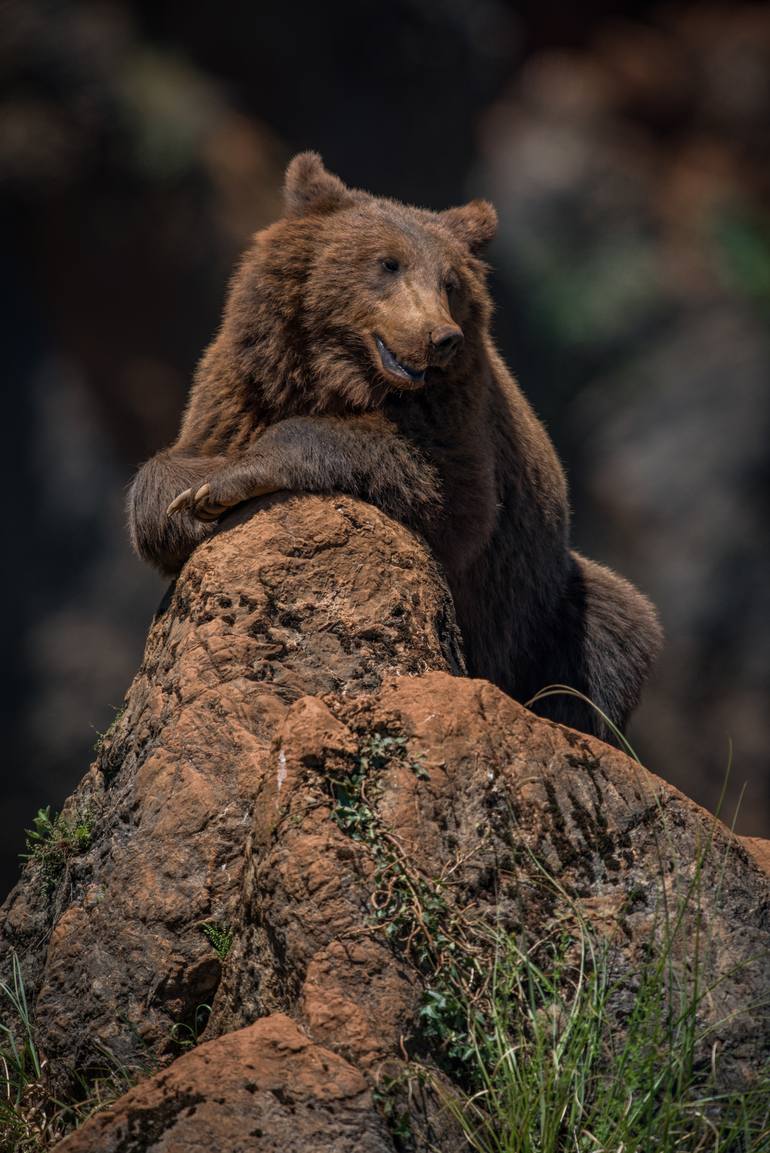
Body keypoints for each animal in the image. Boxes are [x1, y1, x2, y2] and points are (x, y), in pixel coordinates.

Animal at [127, 153, 663, 737]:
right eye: (388, 263)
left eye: (450, 280)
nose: (440, 337)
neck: (342, 376)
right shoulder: (243, 389)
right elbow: (166, 477)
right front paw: (186, 500)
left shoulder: (455, 417)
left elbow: (449, 495)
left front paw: (227, 482)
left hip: (539, 609)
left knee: (613, 629)